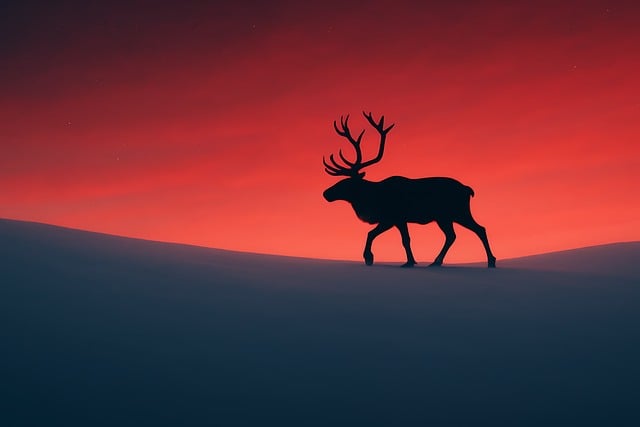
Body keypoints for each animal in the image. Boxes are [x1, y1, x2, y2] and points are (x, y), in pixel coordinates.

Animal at [323, 111, 496, 268]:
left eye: (346, 183)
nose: (325, 193)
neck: (373, 199)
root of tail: (468, 190)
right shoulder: (397, 220)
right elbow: (401, 238)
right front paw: (409, 261)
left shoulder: (393, 217)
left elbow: (389, 237)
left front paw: (371, 258)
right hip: (445, 217)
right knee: (452, 235)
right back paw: (436, 262)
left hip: (458, 212)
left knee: (479, 229)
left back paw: (490, 261)